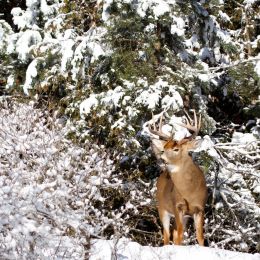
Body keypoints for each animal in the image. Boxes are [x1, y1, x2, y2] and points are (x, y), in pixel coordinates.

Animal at [148, 110, 207, 247]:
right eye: (164, 148)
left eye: (176, 149)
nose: (162, 158)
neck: (189, 192)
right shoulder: (177, 207)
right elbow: (179, 235)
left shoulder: (200, 208)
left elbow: (200, 237)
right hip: (162, 208)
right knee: (167, 235)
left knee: (173, 233)